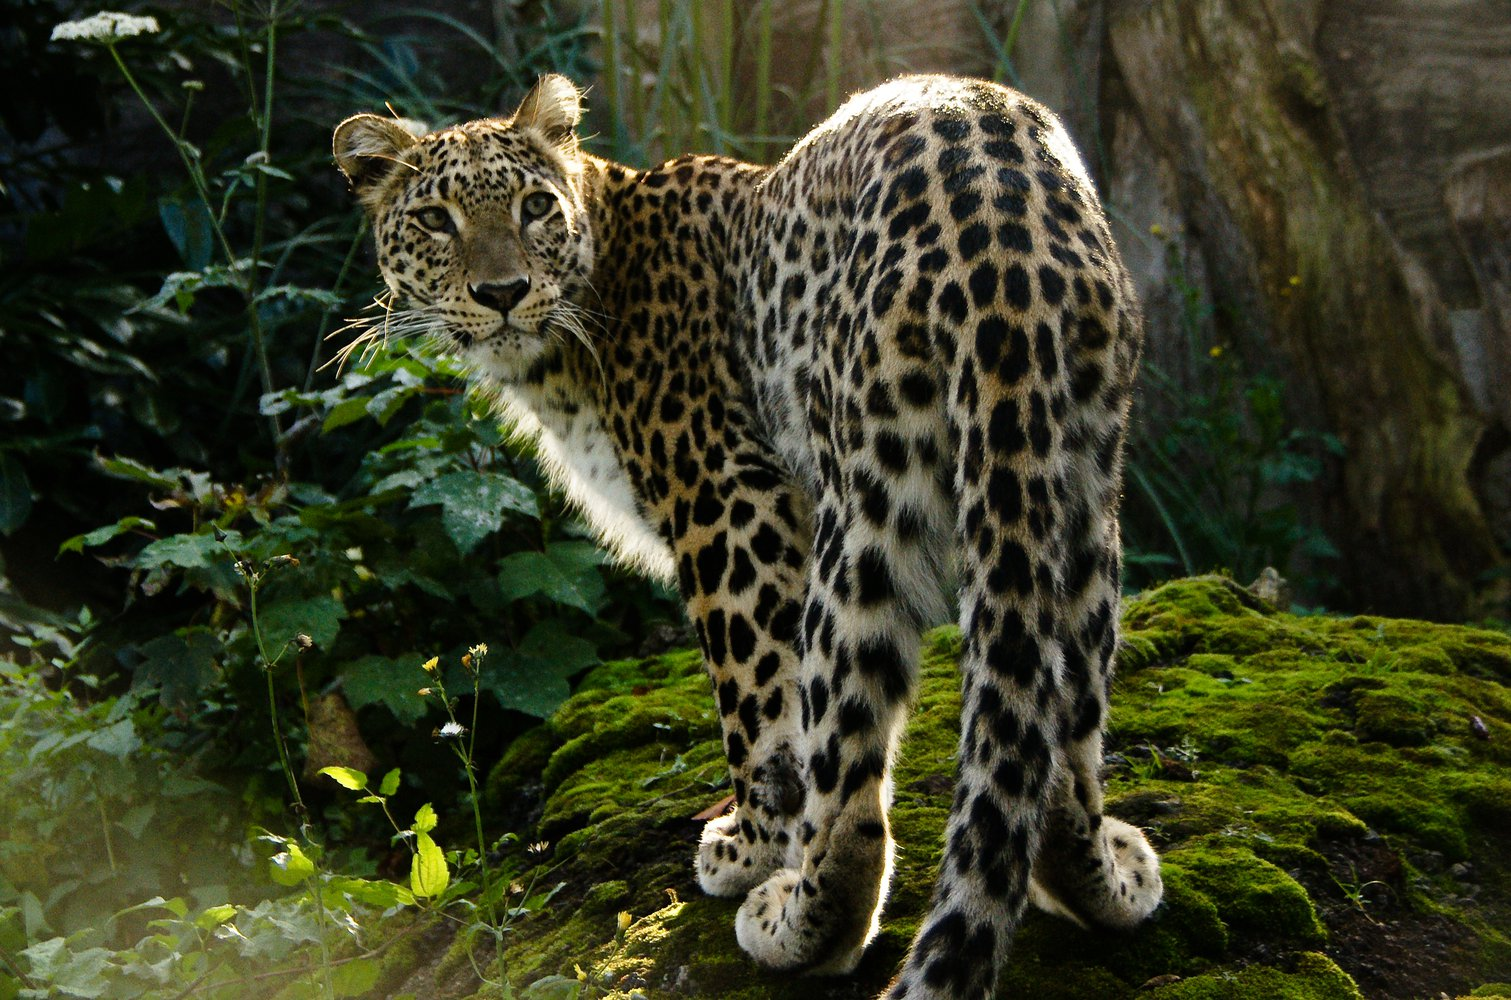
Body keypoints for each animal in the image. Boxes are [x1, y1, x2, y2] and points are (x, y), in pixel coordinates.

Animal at [336, 74, 1160, 996]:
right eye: (435, 219)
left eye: (534, 207)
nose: (503, 293)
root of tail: (1005, 236)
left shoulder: (726, 497)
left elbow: (758, 712)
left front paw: (750, 846)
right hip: (1078, 491)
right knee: (1058, 737)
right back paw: (1106, 879)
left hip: (861, 501)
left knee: (847, 783)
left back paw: (793, 921)